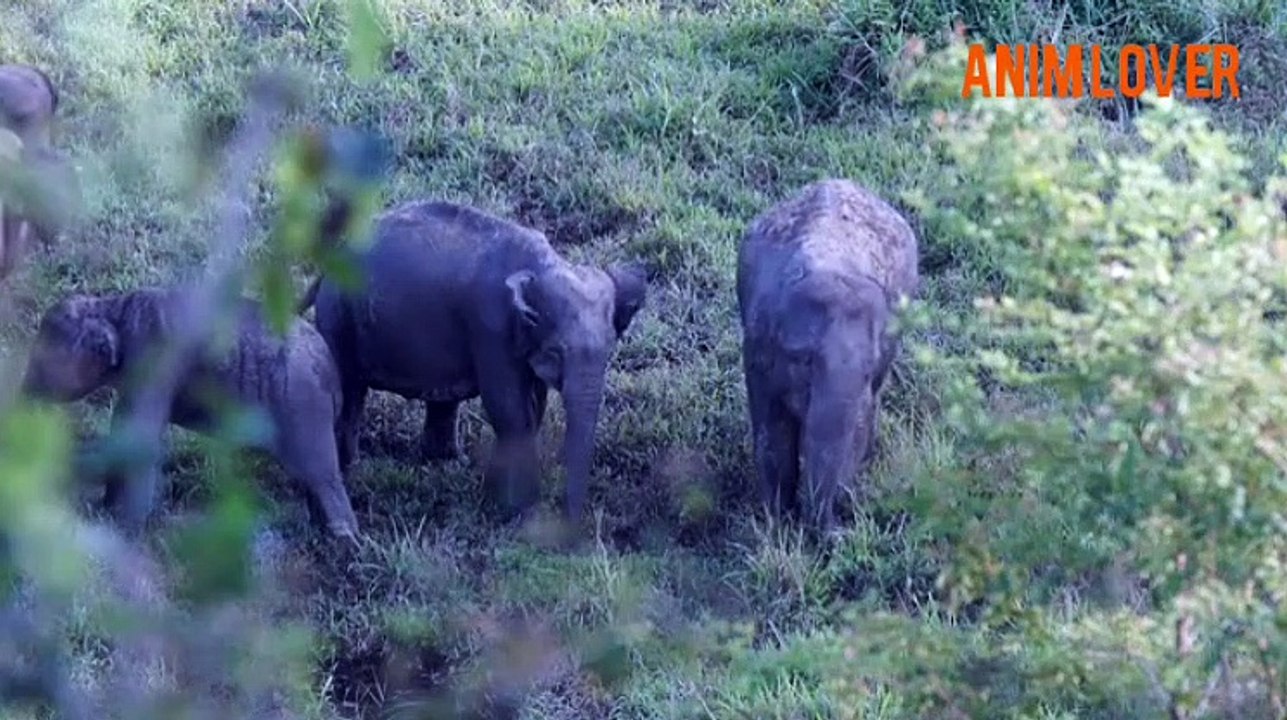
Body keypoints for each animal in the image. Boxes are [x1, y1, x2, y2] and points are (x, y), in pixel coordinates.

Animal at [20, 287, 361, 540]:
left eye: (41, 360)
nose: (24, 394)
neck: (113, 307)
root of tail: (332, 370)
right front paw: (107, 511)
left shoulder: (153, 359)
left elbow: (140, 439)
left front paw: (124, 528)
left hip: (303, 406)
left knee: (322, 474)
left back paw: (344, 541)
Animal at [300, 198, 648, 524]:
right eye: (556, 352)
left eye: (609, 351)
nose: (568, 524)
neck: (542, 265)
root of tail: (327, 266)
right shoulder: (490, 328)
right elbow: (509, 407)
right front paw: (518, 509)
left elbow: (534, 406)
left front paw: (498, 496)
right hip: (339, 317)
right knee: (351, 389)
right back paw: (354, 470)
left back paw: (445, 461)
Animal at [736, 178, 919, 533]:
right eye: (804, 361)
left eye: (868, 370)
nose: (839, 530)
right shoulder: (757, 347)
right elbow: (773, 431)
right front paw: (776, 524)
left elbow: (856, 426)